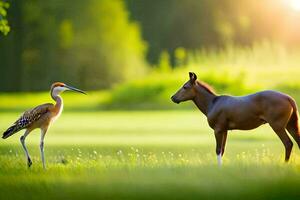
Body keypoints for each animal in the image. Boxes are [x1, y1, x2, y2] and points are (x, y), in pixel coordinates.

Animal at [171, 72, 300, 166]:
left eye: (185, 87)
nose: (173, 97)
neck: (213, 103)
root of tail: (288, 98)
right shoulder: (225, 130)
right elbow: (222, 150)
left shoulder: (218, 130)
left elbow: (218, 150)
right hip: (291, 125)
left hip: (277, 126)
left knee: (288, 144)